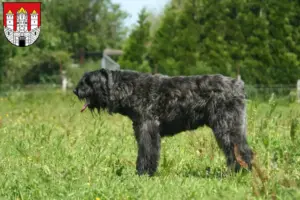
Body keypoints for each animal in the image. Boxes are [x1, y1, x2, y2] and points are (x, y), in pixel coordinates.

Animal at [73, 69, 253, 176]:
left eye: (88, 81)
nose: (75, 90)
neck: (129, 89)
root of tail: (238, 84)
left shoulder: (147, 129)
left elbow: (147, 151)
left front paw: (143, 173)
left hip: (227, 127)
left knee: (241, 150)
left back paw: (241, 172)